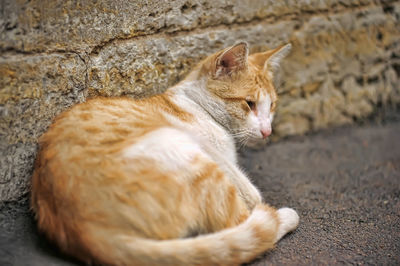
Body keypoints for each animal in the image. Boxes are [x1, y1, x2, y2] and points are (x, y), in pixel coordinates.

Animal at [31, 42, 298, 264]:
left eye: (271, 105)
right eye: (249, 104)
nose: (267, 131)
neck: (196, 105)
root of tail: (87, 231)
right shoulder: (211, 152)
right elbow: (250, 191)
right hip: (181, 150)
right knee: (242, 226)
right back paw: (282, 216)